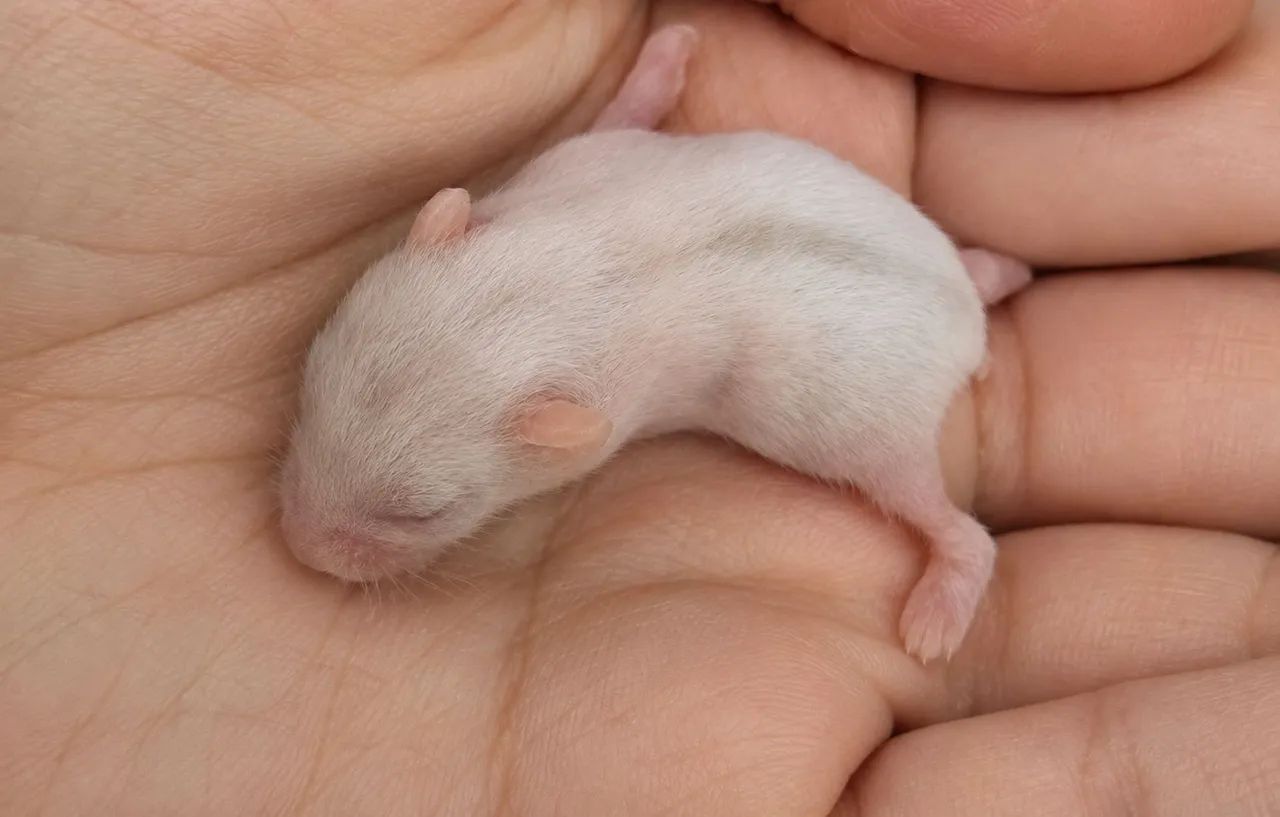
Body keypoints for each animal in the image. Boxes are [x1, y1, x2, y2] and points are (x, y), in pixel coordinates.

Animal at [278, 25, 1031, 661]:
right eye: (309, 388)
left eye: (422, 514)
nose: (299, 551)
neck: (543, 292)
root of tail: (966, 322)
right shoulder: (589, 157)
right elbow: (623, 116)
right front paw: (671, 49)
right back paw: (1001, 269)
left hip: (878, 436)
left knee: (951, 524)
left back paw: (938, 612)